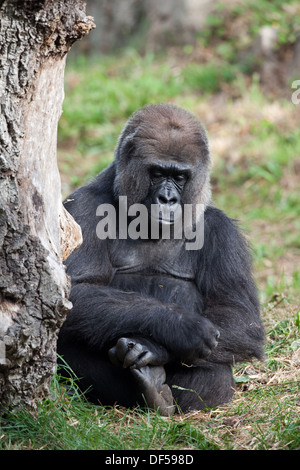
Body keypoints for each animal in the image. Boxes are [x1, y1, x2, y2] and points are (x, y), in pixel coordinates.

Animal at [57, 103, 264, 414]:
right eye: (157, 172)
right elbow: (75, 293)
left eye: (179, 177)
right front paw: (178, 327)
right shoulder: (81, 207)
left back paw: (157, 390)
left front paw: (156, 348)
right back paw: (149, 390)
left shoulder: (222, 231)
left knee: (214, 372)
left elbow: (240, 317)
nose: (167, 199)